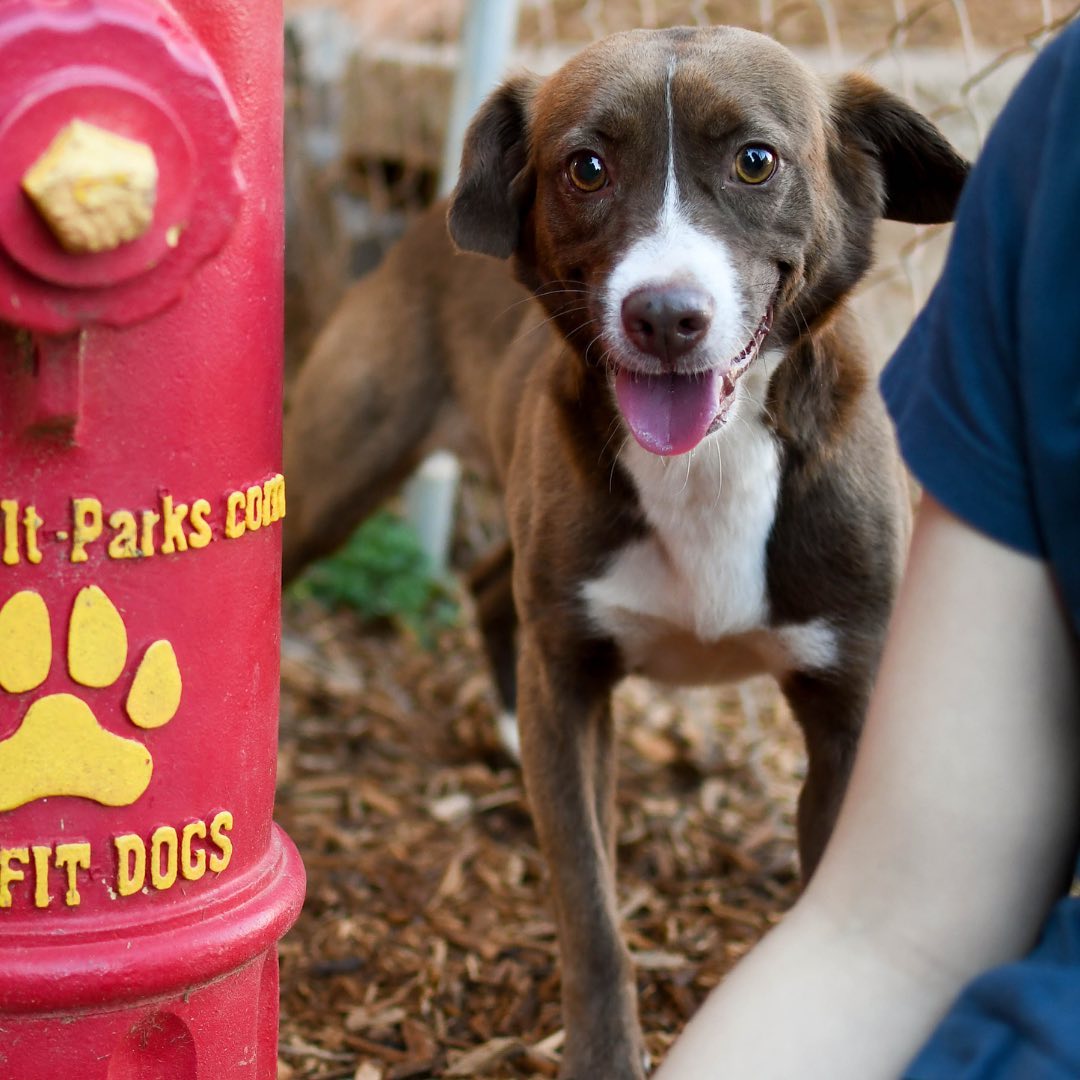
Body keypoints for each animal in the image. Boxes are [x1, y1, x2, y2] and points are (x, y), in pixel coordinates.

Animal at [282, 27, 967, 1080]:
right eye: (586, 167)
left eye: (757, 160)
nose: (666, 316)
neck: (708, 463)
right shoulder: (572, 688)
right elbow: (594, 917)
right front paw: (604, 1055)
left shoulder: (846, 709)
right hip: (338, 479)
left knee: (488, 586)